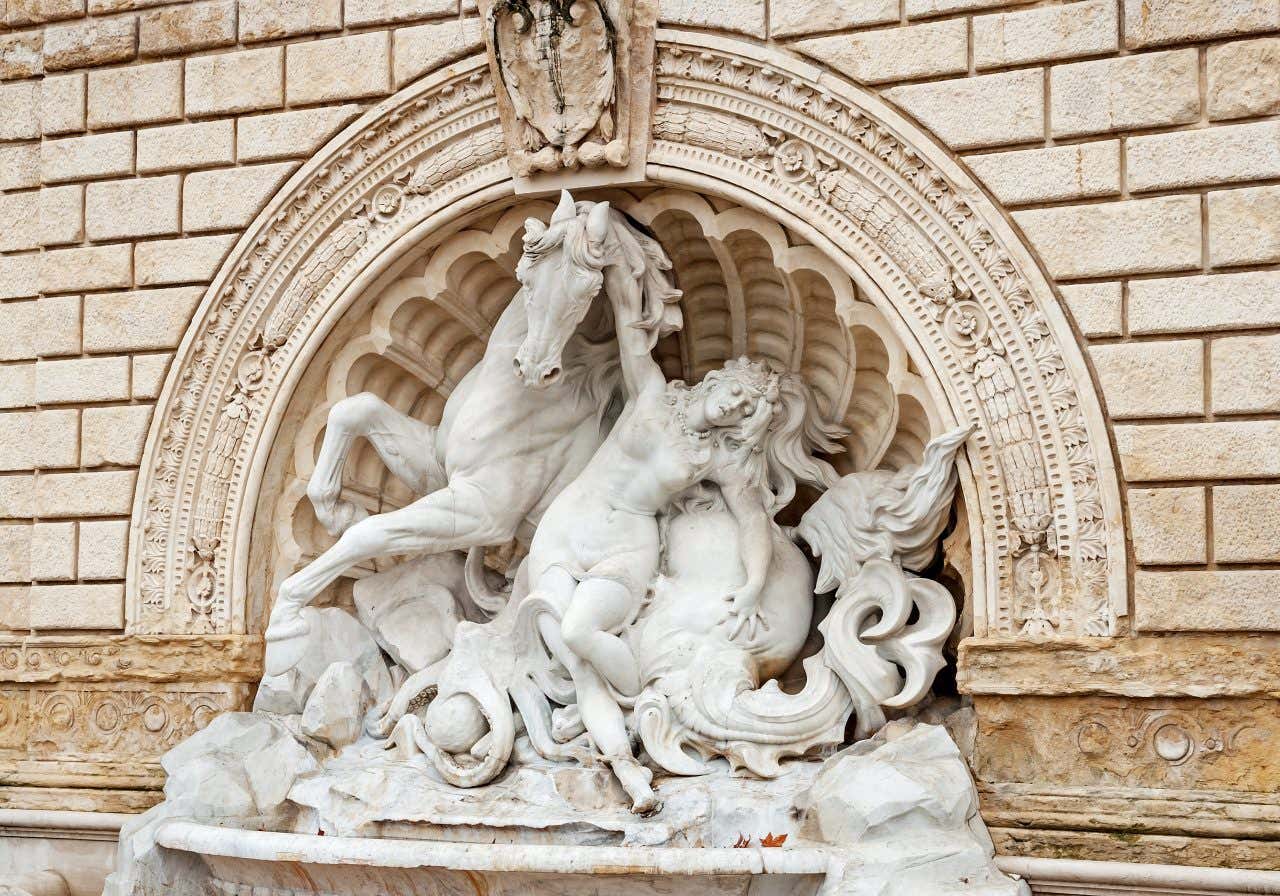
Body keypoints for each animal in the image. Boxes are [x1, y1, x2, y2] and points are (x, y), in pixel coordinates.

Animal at [264, 192, 686, 670]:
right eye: (526, 279)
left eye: (588, 292)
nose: (534, 369)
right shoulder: (438, 466)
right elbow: (355, 408)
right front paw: (337, 510)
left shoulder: (483, 511)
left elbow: (372, 532)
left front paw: (286, 616)